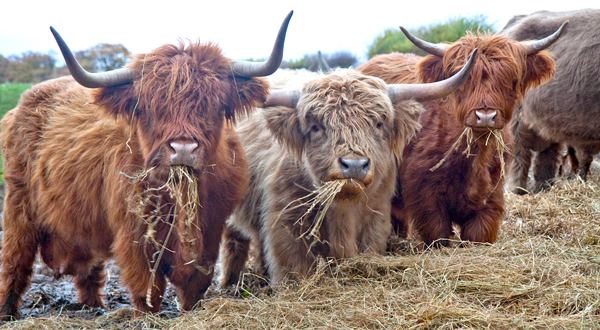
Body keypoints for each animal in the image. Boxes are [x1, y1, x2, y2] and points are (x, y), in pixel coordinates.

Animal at [0, 12, 292, 320]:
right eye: (151, 107)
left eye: (212, 104)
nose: (183, 148)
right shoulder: (135, 232)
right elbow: (146, 283)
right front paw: (147, 316)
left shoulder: (212, 226)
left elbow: (197, 280)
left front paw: (189, 311)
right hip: (18, 205)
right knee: (15, 259)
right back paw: (8, 311)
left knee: (90, 269)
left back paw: (93, 305)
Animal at [360, 23, 568, 245]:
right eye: (463, 81)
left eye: (512, 80)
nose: (485, 116)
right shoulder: (426, 197)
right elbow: (438, 233)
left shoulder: (492, 196)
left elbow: (478, 233)